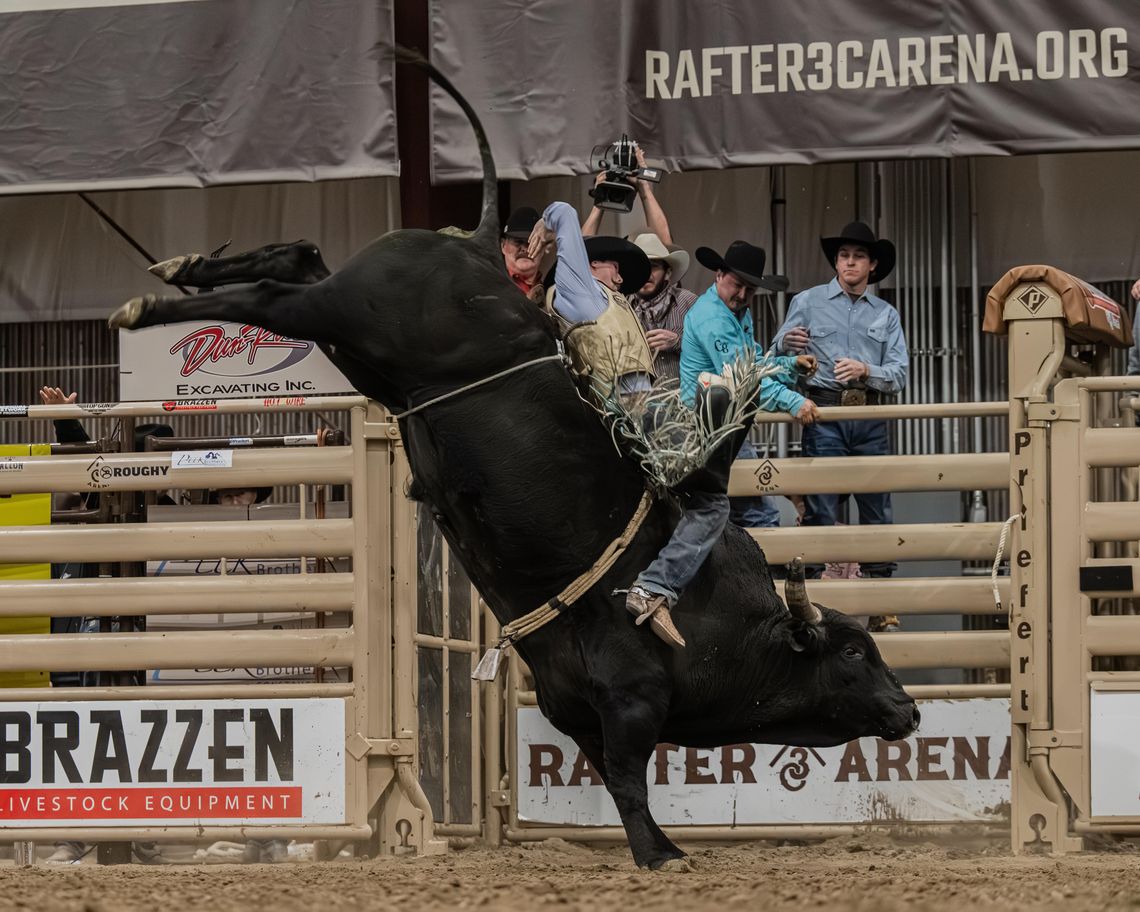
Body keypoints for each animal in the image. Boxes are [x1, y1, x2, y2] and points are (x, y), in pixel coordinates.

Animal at [110, 48, 918, 870]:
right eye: (855, 654)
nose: (909, 710)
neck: (731, 621)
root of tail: (474, 244)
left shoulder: (579, 708)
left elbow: (616, 777)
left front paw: (660, 845)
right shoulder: (630, 700)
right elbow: (630, 777)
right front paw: (657, 852)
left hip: (361, 345)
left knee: (297, 260)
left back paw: (181, 267)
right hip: (353, 318)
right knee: (276, 297)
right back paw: (149, 305)